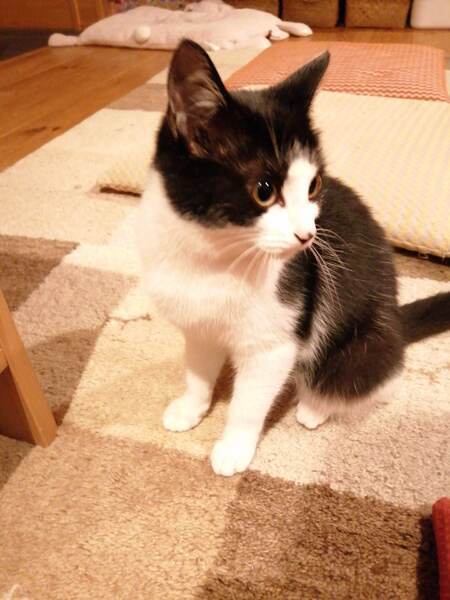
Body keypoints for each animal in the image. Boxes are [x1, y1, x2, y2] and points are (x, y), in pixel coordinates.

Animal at [137, 39, 450, 476]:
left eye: (313, 185)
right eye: (264, 190)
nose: (307, 235)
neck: (214, 257)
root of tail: (396, 321)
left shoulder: (276, 340)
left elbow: (249, 402)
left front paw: (234, 447)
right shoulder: (197, 324)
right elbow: (197, 369)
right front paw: (191, 407)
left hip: (364, 345)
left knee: (374, 378)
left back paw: (315, 407)